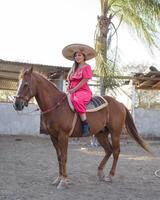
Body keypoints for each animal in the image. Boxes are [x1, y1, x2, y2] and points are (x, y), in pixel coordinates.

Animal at [13, 67, 150, 189]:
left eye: (25, 84)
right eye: (18, 84)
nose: (16, 105)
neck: (56, 106)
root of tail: (120, 104)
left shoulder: (63, 136)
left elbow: (64, 157)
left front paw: (64, 181)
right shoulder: (53, 137)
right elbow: (59, 157)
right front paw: (58, 178)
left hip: (115, 133)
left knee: (116, 151)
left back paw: (110, 175)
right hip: (101, 134)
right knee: (108, 150)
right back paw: (100, 172)